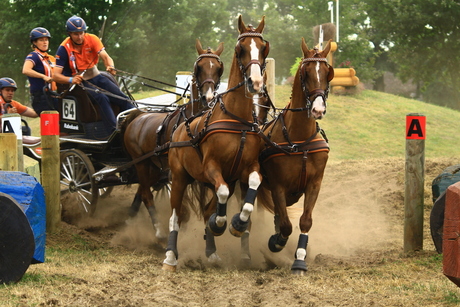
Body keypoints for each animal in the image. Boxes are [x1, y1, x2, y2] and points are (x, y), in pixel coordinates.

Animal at [121, 38, 224, 239]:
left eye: (218, 68)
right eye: (198, 67)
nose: (208, 97)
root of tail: (138, 115)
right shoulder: (177, 171)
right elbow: (181, 207)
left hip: (153, 166)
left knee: (142, 191)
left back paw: (130, 217)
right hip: (141, 163)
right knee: (146, 194)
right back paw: (158, 231)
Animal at [163, 15, 268, 270]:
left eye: (263, 48)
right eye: (240, 49)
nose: (255, 82)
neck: (237, 120)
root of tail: (179, 128)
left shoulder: (247, 169)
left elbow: (251, 191)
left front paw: (237, 224)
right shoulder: (212, 167)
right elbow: (220, 194)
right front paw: (220, 223)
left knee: (207, 209)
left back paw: (211, 251)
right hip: (179, 178)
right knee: (175, 216)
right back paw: (170, 256)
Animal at [256, 39, 332, 276]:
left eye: (327, 72)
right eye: (305, 73)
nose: (318, 109)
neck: (299, 140)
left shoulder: (314, 184)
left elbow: (305, 221)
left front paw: (300, 260)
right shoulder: (278, 186)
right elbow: (286, 225)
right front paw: (276, 242)